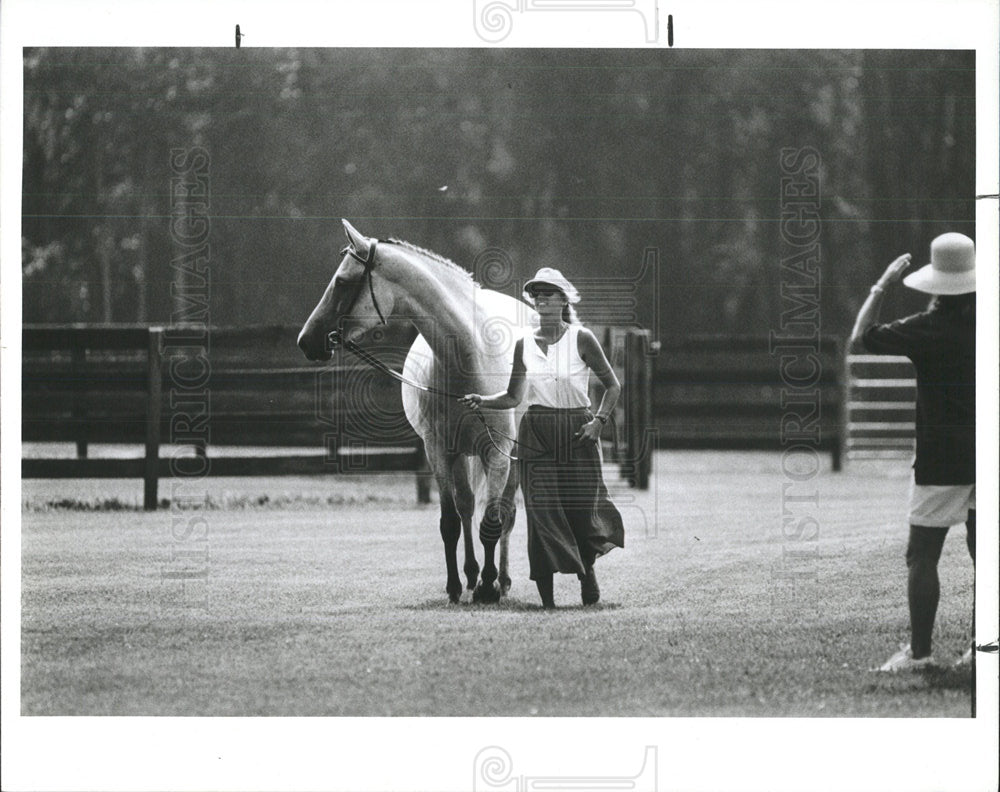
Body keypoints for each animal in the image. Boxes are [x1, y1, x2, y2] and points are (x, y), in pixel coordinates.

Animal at [296, 220, 536, 604]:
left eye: (343, 282)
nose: (307, 340)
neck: (469, 355)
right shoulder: (438, 450)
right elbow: (450, 522)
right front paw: (456, 586)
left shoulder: (498, 454)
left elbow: (493, 523)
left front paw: (489, 587)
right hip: (461, 455)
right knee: (467, 507)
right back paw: (472, 575)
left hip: (511, 458)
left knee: (505, 516)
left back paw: (501, 579)